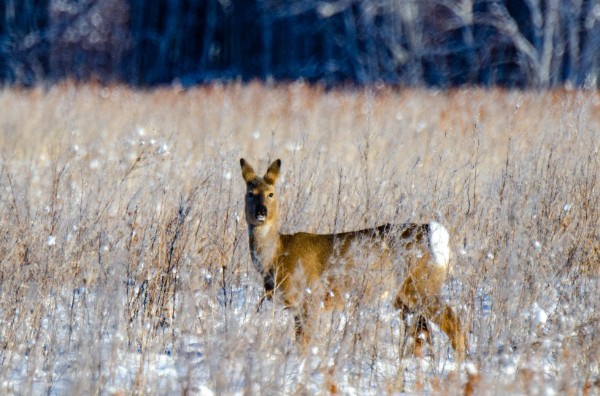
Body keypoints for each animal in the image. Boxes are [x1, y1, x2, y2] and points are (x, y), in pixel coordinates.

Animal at [241, 158, 466, 358]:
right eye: (250, 194)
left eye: (271, 193)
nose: (261, 211)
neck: (277, 255)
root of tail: (436, 233)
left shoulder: (310, 298)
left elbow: (304, 343)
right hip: (407, 296)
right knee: (422, 334)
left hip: (424, 286)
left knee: (453, 323)